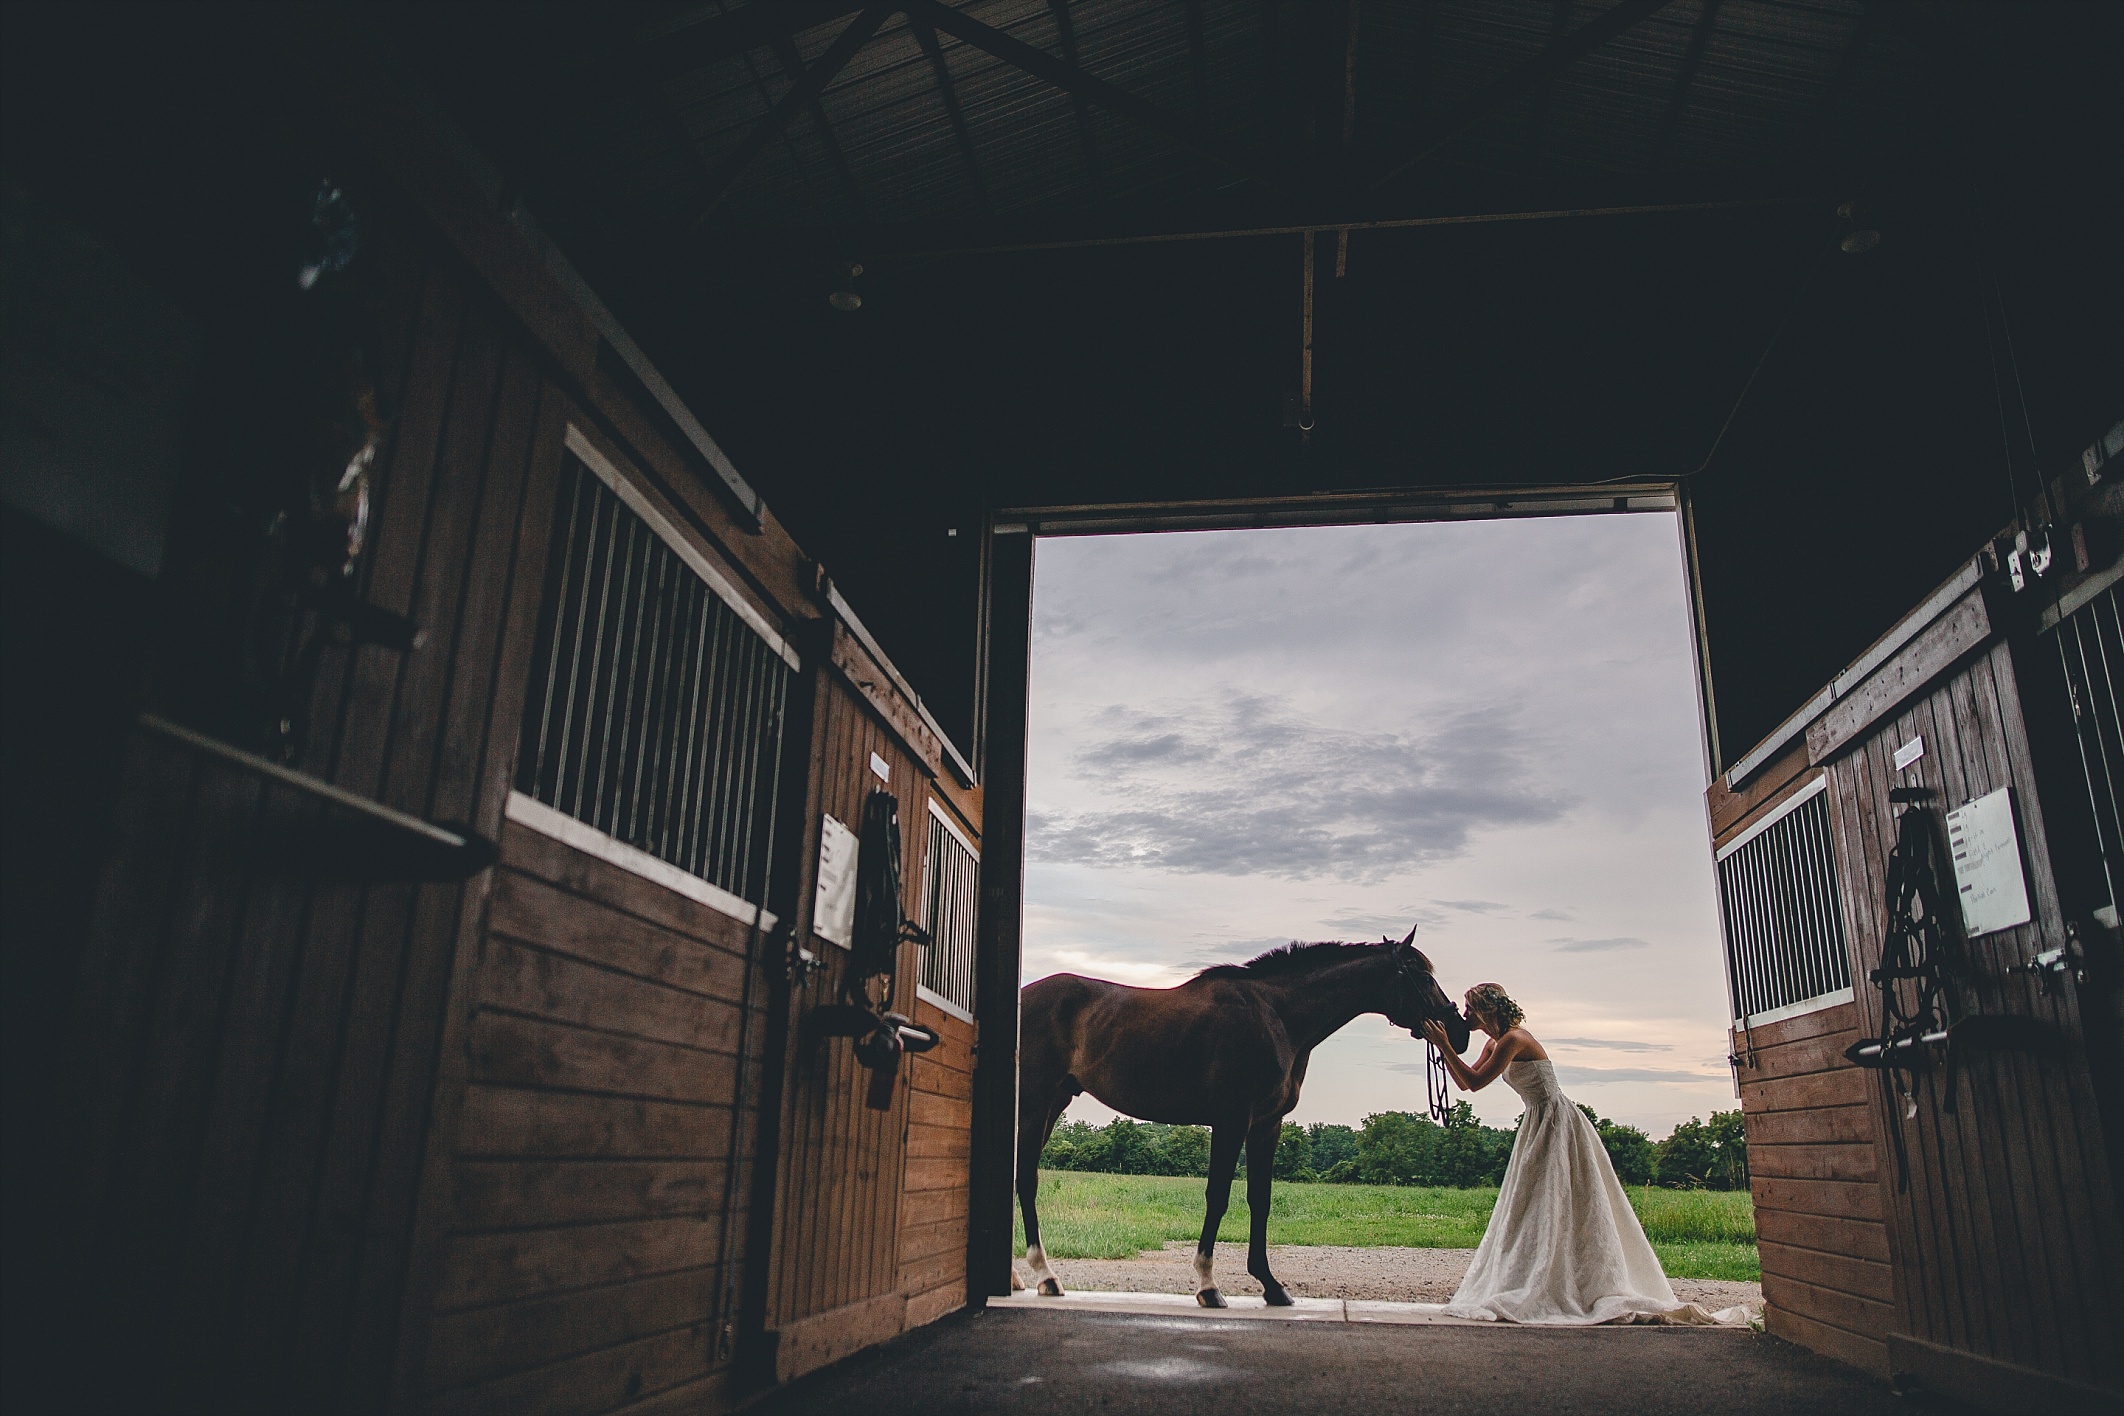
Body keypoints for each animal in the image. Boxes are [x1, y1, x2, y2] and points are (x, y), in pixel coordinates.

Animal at [1019, 929, 1469, 1307]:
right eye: (1422, 976)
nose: (1459, 1030)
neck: (1277, 1017)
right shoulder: (1232, 1120)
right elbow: (1218, 1196)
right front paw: (1208, 1285)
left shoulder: (1267, 1125)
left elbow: (1260, 1199)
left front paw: (1271, 1285)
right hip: (1035, 1102)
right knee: (1026, 1178)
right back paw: (1045, 1275)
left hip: (1055, 1101)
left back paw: (1018, 1278)